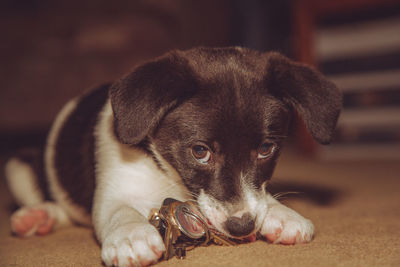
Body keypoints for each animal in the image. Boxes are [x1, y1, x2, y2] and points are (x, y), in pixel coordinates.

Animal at [4, 47, 340, 267]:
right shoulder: (115, 189)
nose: (242, 227)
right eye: (200, 152)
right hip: (17, 168)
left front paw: (282, 213)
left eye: (266, 149)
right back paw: (38, 216)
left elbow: (260, 198)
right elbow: (119, 211)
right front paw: (130, 235)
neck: (166, 173)